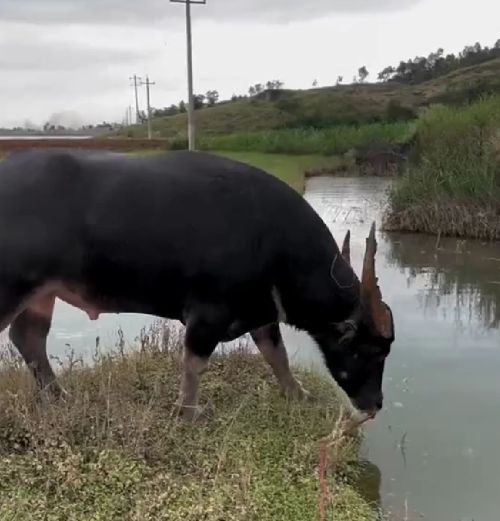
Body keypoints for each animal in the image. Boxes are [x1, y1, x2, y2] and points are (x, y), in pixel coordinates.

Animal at [0, 148, 394, 416]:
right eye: (373, 351)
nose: (375, 404)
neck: (269, 238)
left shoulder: (261, 311)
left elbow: (276, 355)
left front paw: (297, 394)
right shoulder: (208, 314)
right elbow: (194, 363)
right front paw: (188, 412)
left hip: (42, 293)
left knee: (29, 338)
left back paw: (58, 396)